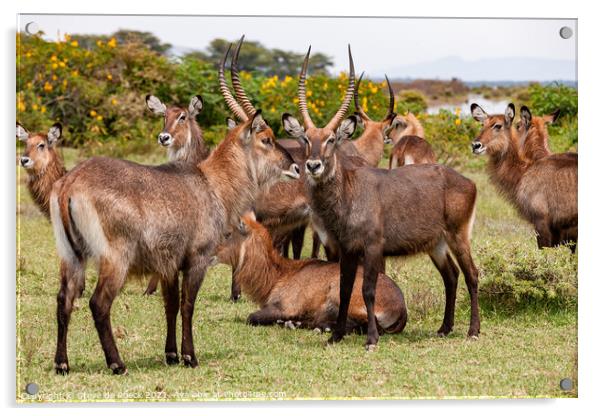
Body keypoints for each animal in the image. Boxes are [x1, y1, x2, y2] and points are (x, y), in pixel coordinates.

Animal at [282, 46, 478, 352]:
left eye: (331, 139)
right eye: (305, 138)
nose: (313, 165)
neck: (349, 194)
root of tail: (467, 181)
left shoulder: (373, 248)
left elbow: (368, 289)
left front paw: (372, 339)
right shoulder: (348, 249)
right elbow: (345, 288)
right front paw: (335, 335)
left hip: (459, 236)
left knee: (472, 274)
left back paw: (473, 331)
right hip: (436, 244)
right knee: (451, 276)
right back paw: (445, 328)